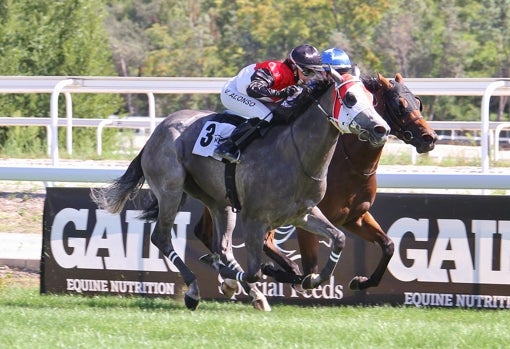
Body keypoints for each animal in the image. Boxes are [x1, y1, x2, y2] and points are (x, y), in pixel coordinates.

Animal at [90, 71, 390, 310]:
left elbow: (337, 239)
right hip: (170, 191)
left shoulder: (303, 214)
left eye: (372, 99)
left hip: (219, 202)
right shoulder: (255, 219)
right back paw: (195, 289)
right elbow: (255, 271)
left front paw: (316, 279)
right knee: (162, 238)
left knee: (222, 247)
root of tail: (158, 130)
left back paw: (246, 290)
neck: (295, 154)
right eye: (350, 98)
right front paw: (236, 279)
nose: (381, 128)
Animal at [193, 72, 436, 294]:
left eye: (418, 102)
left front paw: (361, 281)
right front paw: (276, 272)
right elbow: (308, 270)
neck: (349, 163)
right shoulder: (304, 219)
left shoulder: (354, 217)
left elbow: (388, 245)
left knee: (206, 234)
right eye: (399, 105)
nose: (430, 138)